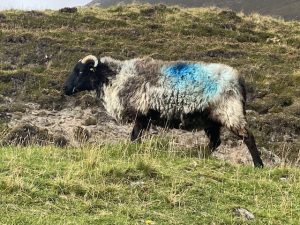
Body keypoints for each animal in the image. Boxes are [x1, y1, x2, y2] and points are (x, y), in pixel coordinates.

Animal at [62, 54, 262, 167]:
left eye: (80, 71)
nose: (65, 89)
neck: (115, 77)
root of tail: (239, 80)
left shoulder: (142, 114)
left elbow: (134, 136)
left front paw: (132, 151)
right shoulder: (144, 117)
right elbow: (137, 136)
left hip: (230, 112)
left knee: (248, 137)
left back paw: (258, 165)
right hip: (211, 119)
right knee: (215, 142)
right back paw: (196, 155)